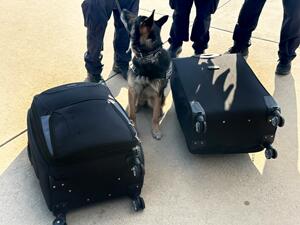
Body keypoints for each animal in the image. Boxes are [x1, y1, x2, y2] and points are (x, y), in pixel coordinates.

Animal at [120, 9, 170, 140]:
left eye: (134, 20)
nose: (123, 9)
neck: (147, 57)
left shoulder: (158, 94)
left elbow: (155, 117)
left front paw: (156, 130)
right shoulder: (132, 89)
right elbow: (132, 114)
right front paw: (134, 127)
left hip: (157, 98)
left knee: (157, 110)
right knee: (134, 106)